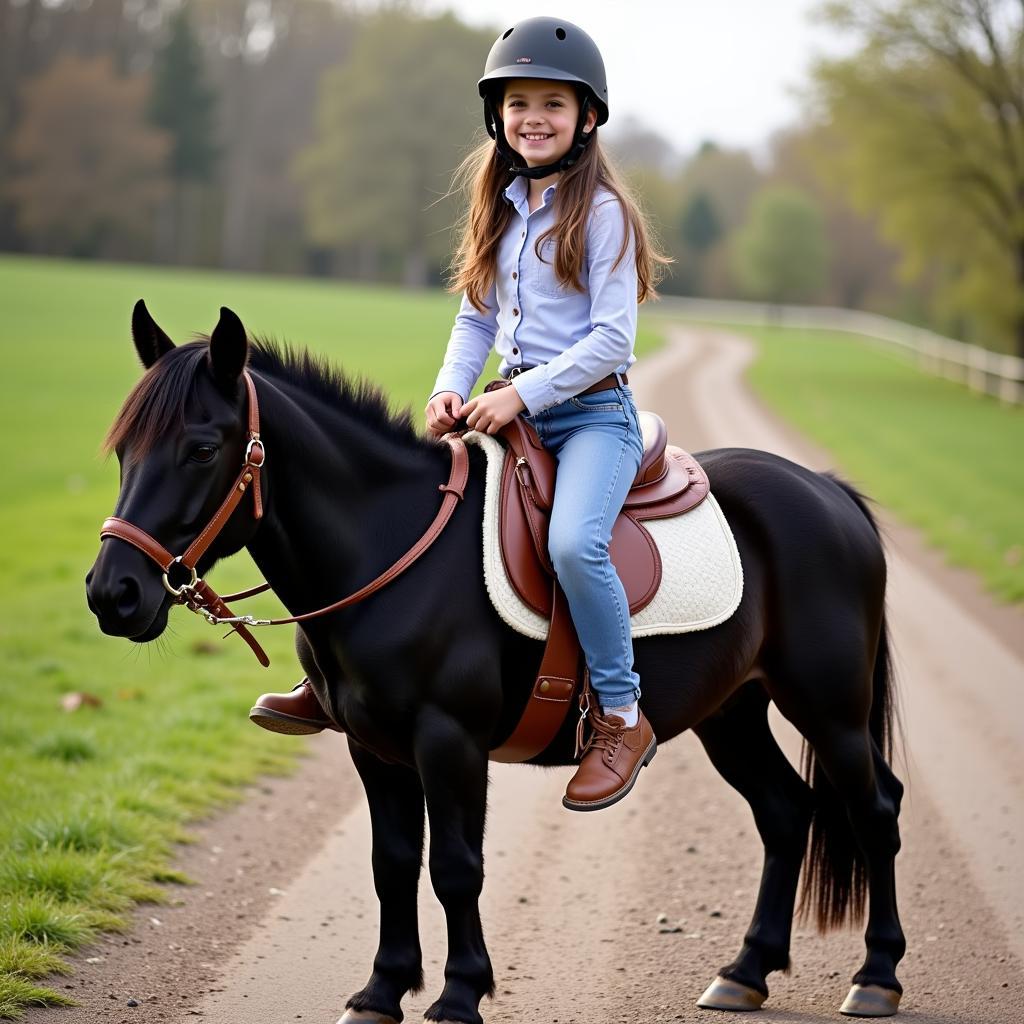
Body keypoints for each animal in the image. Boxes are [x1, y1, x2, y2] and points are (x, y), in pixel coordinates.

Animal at [86, 305, 905, 1024]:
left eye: (201, 447)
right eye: (124, 449)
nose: (112, 594)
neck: (392, 545)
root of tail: (827, 492)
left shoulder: (450, 742)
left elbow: (455, 866)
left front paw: (459, 994)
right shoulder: (373, 748)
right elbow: (392, 863)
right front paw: (381, 992)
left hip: (829, 711)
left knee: (875, 811)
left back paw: (876, 977)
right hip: (731, 713)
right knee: (785, 811)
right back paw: (746, 972)